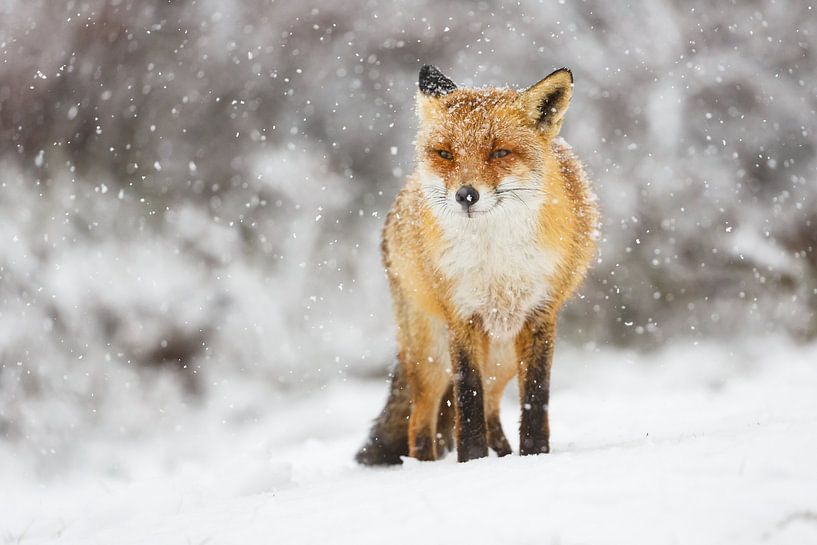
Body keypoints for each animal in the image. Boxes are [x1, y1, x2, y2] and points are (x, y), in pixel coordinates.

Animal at [355, 65, 599, 464]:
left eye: (499, 152)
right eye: (445, 153)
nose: (466, 195)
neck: (496, 265)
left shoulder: (540, 316)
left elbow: (535, 399)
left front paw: (534, 456)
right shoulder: (462, 317)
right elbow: (468, 400)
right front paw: (472, 463)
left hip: (500, 358)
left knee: (492, 409)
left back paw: (503, 454)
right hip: (432, 356)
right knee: (420, 423)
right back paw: (425, 466)